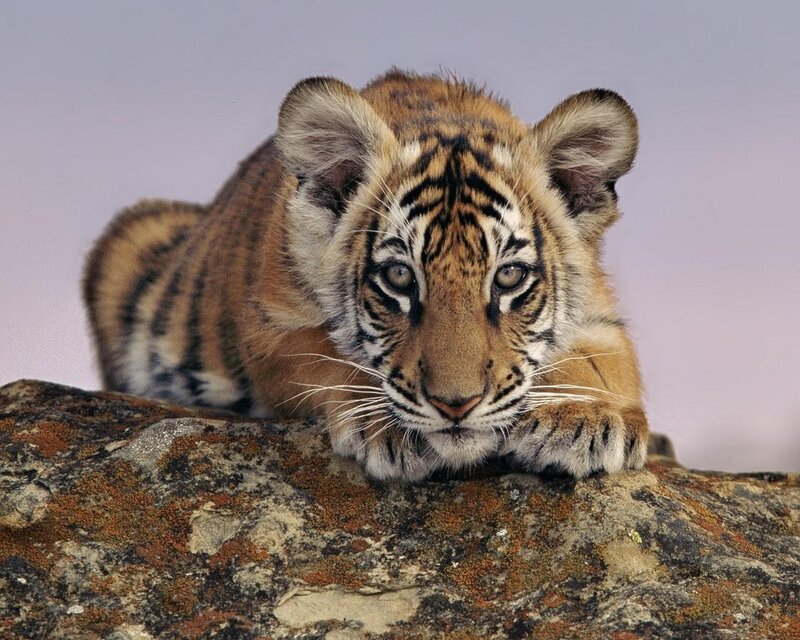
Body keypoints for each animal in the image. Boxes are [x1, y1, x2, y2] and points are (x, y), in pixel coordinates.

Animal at [83, 70, 649, 482]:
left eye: (508, 277)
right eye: (399, 277)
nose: (456, 406)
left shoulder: (601, 317)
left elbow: (599, 364)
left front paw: (583, 418)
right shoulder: (270, 328)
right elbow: (325, 354)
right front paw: (385, 425)